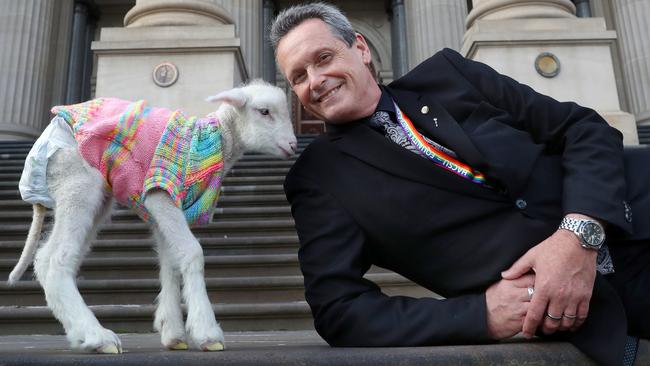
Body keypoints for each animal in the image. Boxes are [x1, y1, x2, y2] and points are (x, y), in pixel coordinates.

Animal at [6, 78, 296, 354]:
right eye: (264, 112)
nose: (293, 145)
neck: (218, 139)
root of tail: (45, 137)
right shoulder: (160, 193)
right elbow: (192, 253)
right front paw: (207, 332)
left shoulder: (162, 210)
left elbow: (171, 262)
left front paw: (173, 333)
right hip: (77, 183)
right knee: (57, 259)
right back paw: (98, 337)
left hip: (94, 197)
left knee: (45, 259)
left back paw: (80, 333)